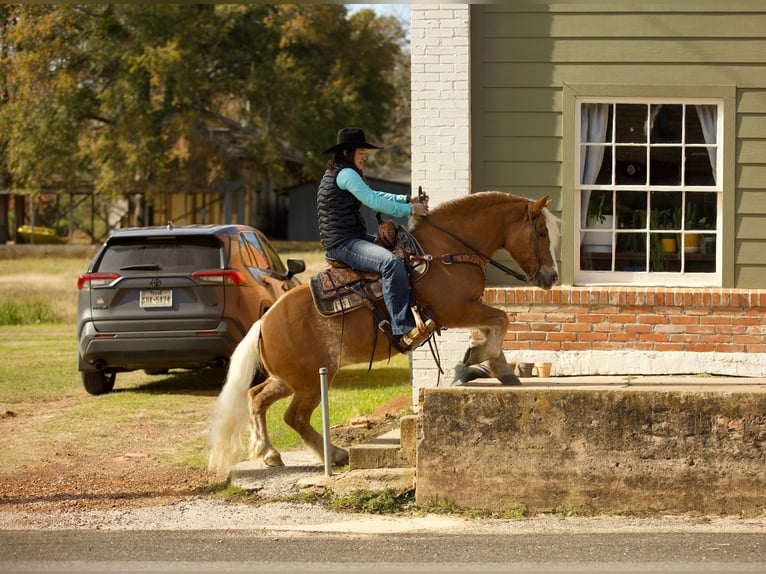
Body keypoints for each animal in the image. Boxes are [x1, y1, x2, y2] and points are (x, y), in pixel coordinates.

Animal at [207, 191, 560, 480]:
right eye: (541, 233)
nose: (552, 277)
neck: (445, 253)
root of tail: (264, 322)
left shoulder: (468, 309)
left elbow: (493, 325)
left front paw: (482, 363)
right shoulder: (457, 310)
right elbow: (501, 318)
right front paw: (492, 364)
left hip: (290, 378)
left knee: (257, 398)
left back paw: (269, 452)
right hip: (312, 380)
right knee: (295, 417)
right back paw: (334, 454)